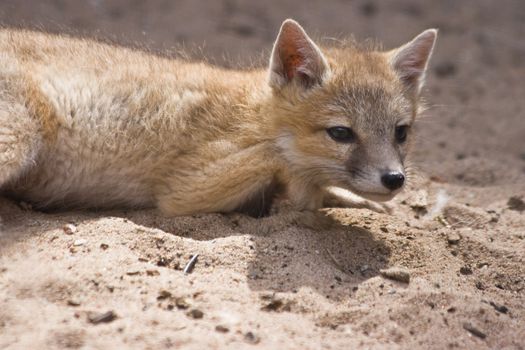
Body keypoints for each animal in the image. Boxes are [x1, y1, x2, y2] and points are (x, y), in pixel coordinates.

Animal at [0, 19, 434, 216]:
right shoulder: (182, 191)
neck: (255, 116)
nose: (394, 179)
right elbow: (288, 166)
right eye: (341, 133)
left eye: (401, 133)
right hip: (19, 142)